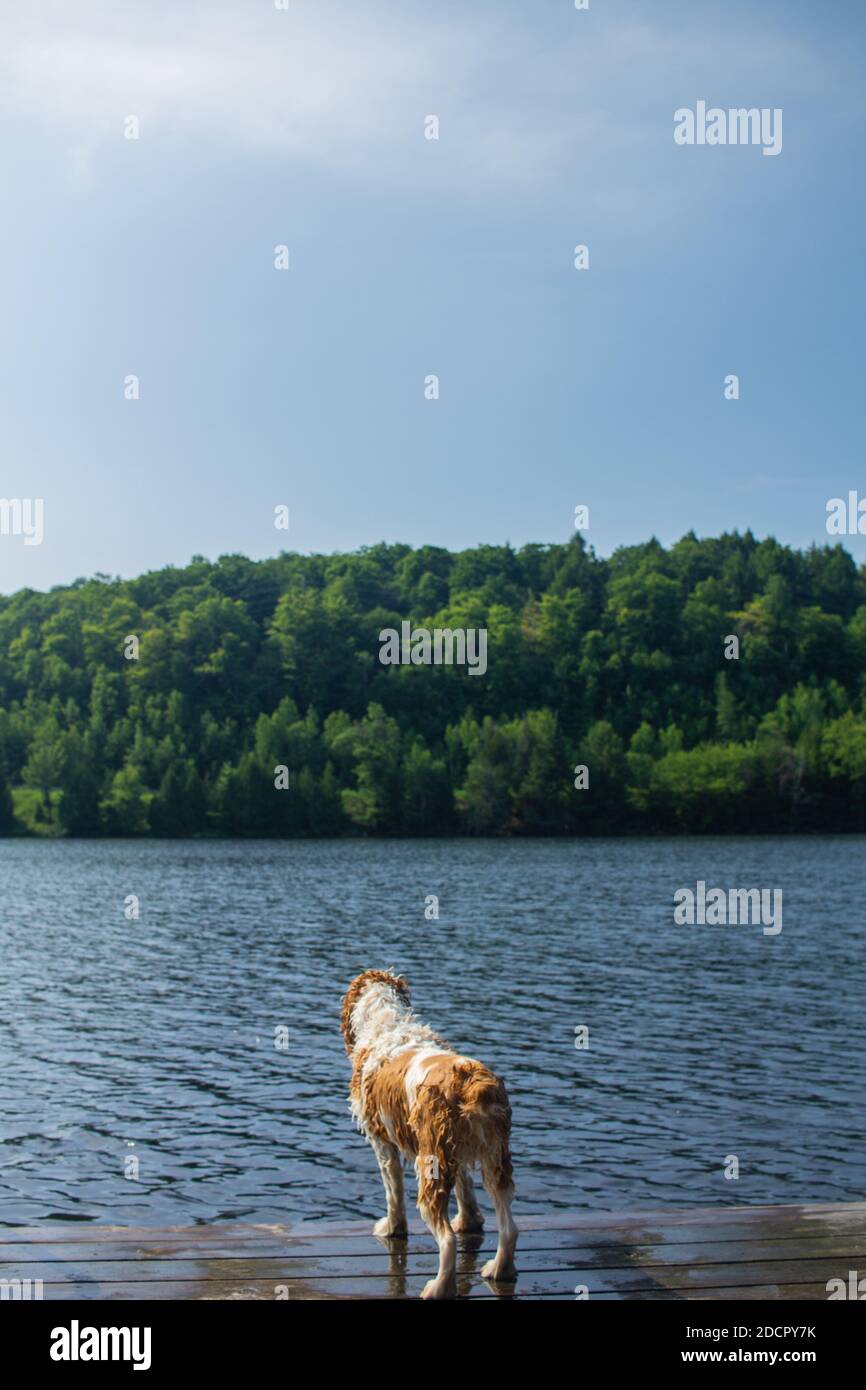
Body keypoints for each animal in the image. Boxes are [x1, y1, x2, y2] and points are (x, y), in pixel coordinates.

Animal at [339, 973, 514, 1295]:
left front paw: (392, 1229)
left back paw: (439, 1287)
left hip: (431, 1168)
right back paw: (500, 1269)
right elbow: (466, 1192)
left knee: (447, 1241)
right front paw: (469, 1222)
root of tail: (471, 1084)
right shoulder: (454, 1154)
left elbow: (393, 1193)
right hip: (494, 1160)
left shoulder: (383, 1143)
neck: (389, 1022)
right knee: (509, 1226)